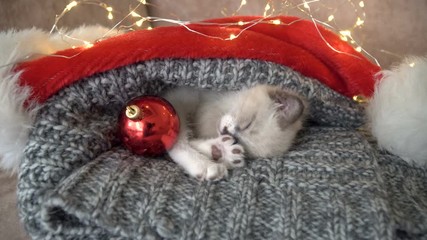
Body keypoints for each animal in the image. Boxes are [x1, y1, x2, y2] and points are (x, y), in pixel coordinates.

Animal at [163, 84, 308, 180]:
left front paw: (220, 151)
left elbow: (188, 139)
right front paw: (206, 162)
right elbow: (179, 139)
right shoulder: (180, 99)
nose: (226, 132)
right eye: (247, 124)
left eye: (240, 140)